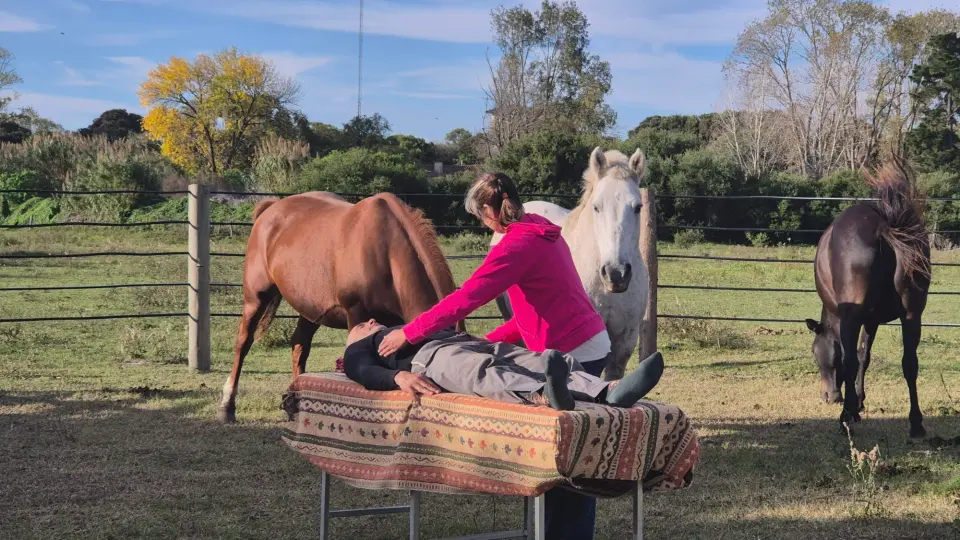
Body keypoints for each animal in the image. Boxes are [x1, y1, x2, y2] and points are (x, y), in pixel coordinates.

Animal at [219, 191, 462, 422]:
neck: (385, 250)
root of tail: (270, 208)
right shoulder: (356, 314)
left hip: (311, 308)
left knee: (299, 345)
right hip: (255, 298)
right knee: (243, 343)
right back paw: (227, 406)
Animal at [804, 163, 931, 439]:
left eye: (815, 351)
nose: (827, 396)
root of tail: (883, 227)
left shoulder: (846, 319)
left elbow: (851, 358)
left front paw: (853, 408)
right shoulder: (872, 320)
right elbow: (865, 355)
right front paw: (860, 401)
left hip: (852, 318)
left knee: (851, 361)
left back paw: (845, 419)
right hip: (912, 315)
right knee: (910, 363)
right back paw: (916, 424)